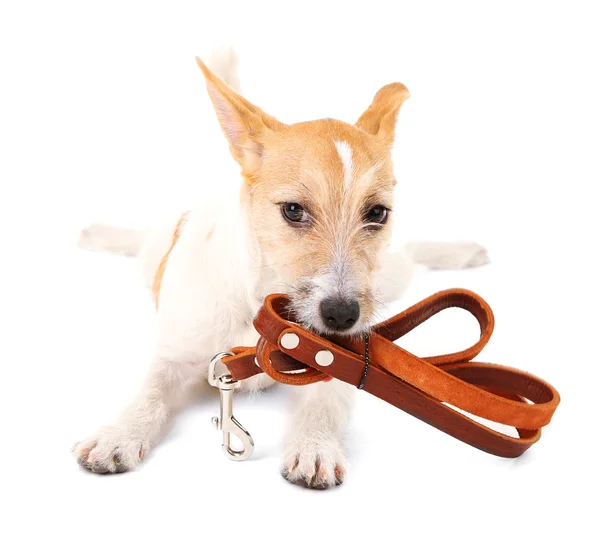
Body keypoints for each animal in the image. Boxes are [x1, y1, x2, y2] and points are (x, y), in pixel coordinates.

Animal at [74, 47, 488, 490]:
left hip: (388, 277)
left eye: (377, 213)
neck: (260, 302)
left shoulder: (331, 361)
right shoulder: (176, 353)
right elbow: (149, 392)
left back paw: (462, 252)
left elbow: (324, 404)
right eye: (292, 210)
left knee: (409, 255)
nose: (342, 316)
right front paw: (119, 434)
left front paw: (314, 446)